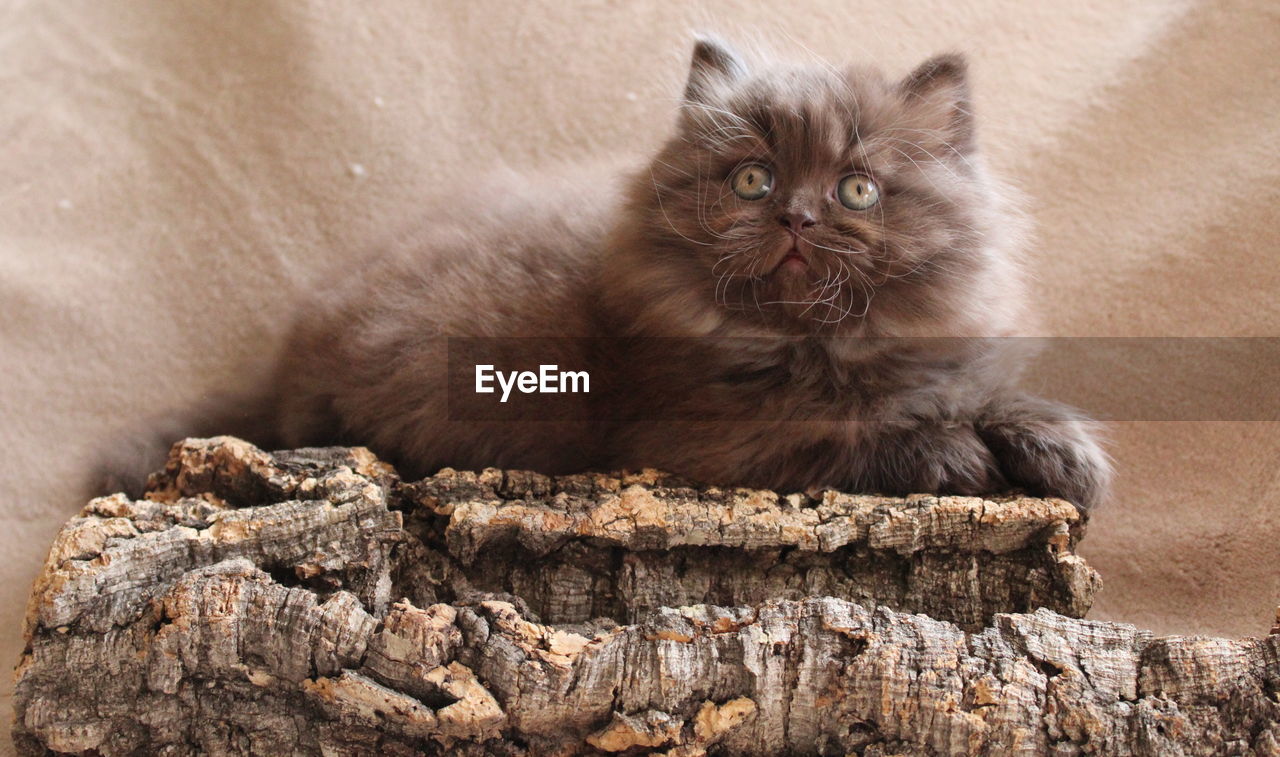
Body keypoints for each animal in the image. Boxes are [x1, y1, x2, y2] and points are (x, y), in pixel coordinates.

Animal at [272, 35, 1111, 509]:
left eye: (857, 190)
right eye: (754, 181)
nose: (796, 218)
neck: (818, 352)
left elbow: (978, 394)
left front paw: (1062, 449)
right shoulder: (701, 437)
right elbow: (842, 435)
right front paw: (952, 452)